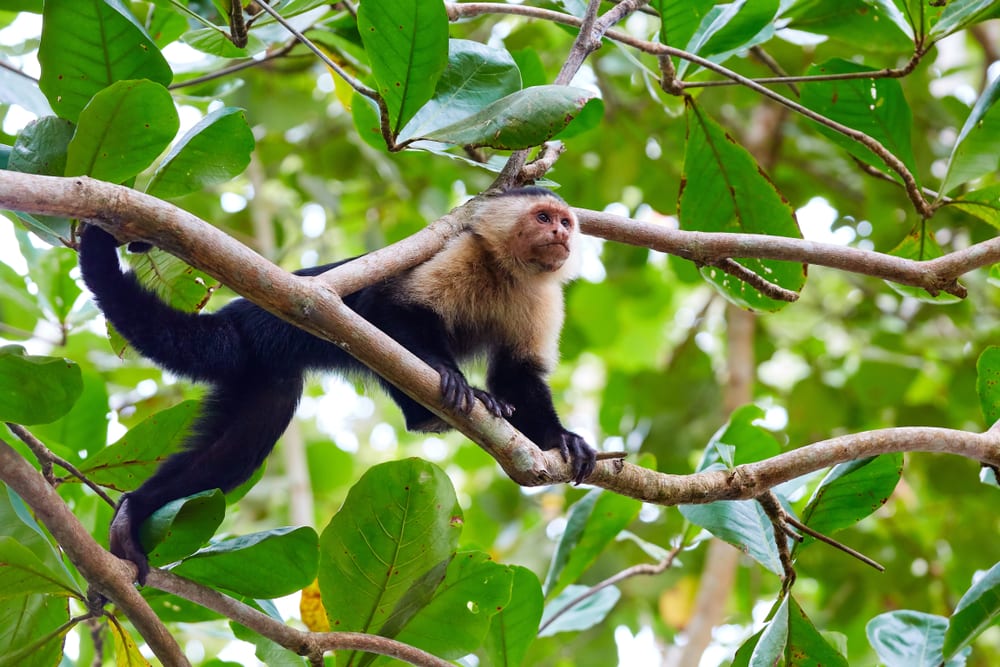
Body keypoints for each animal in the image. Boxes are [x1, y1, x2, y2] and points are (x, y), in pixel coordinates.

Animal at [78, 187, 597, 582]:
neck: (507, 270)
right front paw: (449, 372)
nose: (559, 234)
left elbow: (519, 374)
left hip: (263, 375)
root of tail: (240, 319)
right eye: (543, 217)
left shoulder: (542, 296)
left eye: (565, 222)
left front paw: (560, 438)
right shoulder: (461, 253)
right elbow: (386, 307)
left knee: (232, 452)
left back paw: (135, 509)